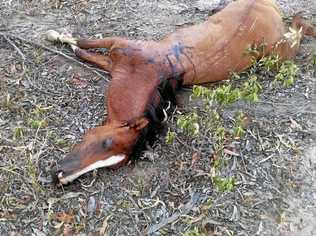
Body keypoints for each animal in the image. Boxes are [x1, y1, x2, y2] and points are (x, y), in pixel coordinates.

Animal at [45, 0, 314, 184]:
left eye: (111, 161)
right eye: (105, 141)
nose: (60, 176)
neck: (151, 70)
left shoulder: (116, 52)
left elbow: (82, 50)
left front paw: (61, 37)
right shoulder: (115, 50)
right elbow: (84, 47)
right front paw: (57, 35)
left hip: (279, 55)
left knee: (297, 32)